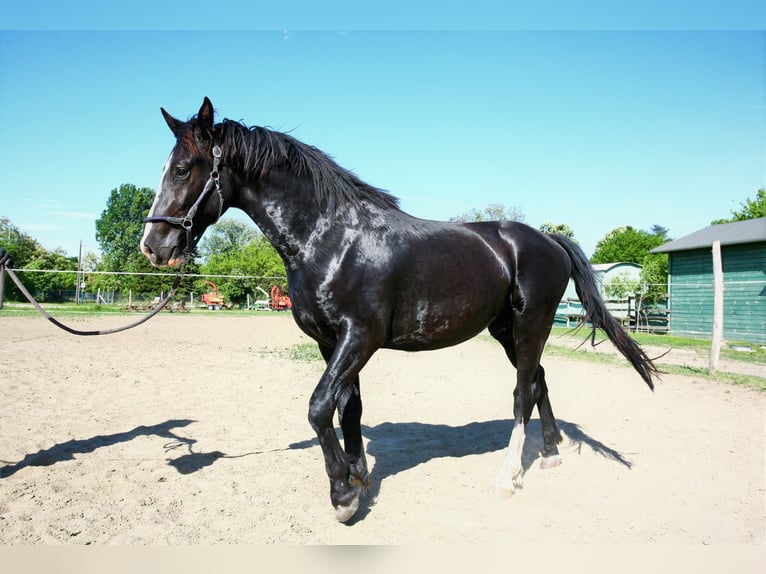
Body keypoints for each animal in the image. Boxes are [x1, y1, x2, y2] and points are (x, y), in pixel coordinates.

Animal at [142, 100, 660, 528]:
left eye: (184, 169)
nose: (153, 246)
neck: (332, 237)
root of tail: (548, 238)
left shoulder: (360, 338)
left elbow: (318, 408)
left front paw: (341, 496)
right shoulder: (331, 343)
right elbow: (348, 409)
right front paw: (358, 480)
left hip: (531, 324)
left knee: (521, 394)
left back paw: (508, 476)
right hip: (507, 330)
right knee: (539, 382)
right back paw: (550, 454)